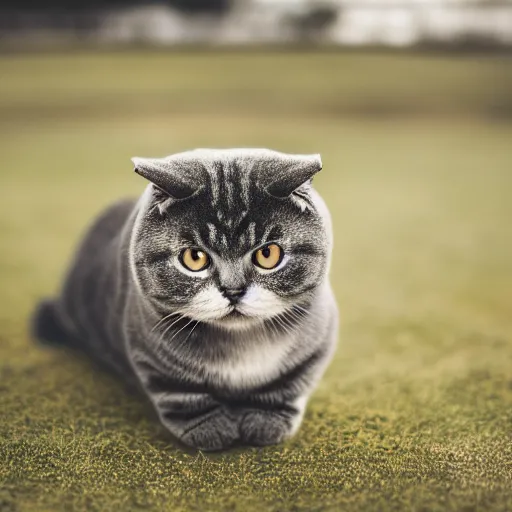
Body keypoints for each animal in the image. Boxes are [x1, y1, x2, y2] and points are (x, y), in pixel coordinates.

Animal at [31, 149, 336, 452]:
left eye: (268, 254)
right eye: (194, 258)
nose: (233, 290)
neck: (240, 343)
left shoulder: (319, 337)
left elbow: (288, 383)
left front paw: (265, 420)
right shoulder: (147, 349)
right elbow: (182, 393)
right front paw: (209, 427)